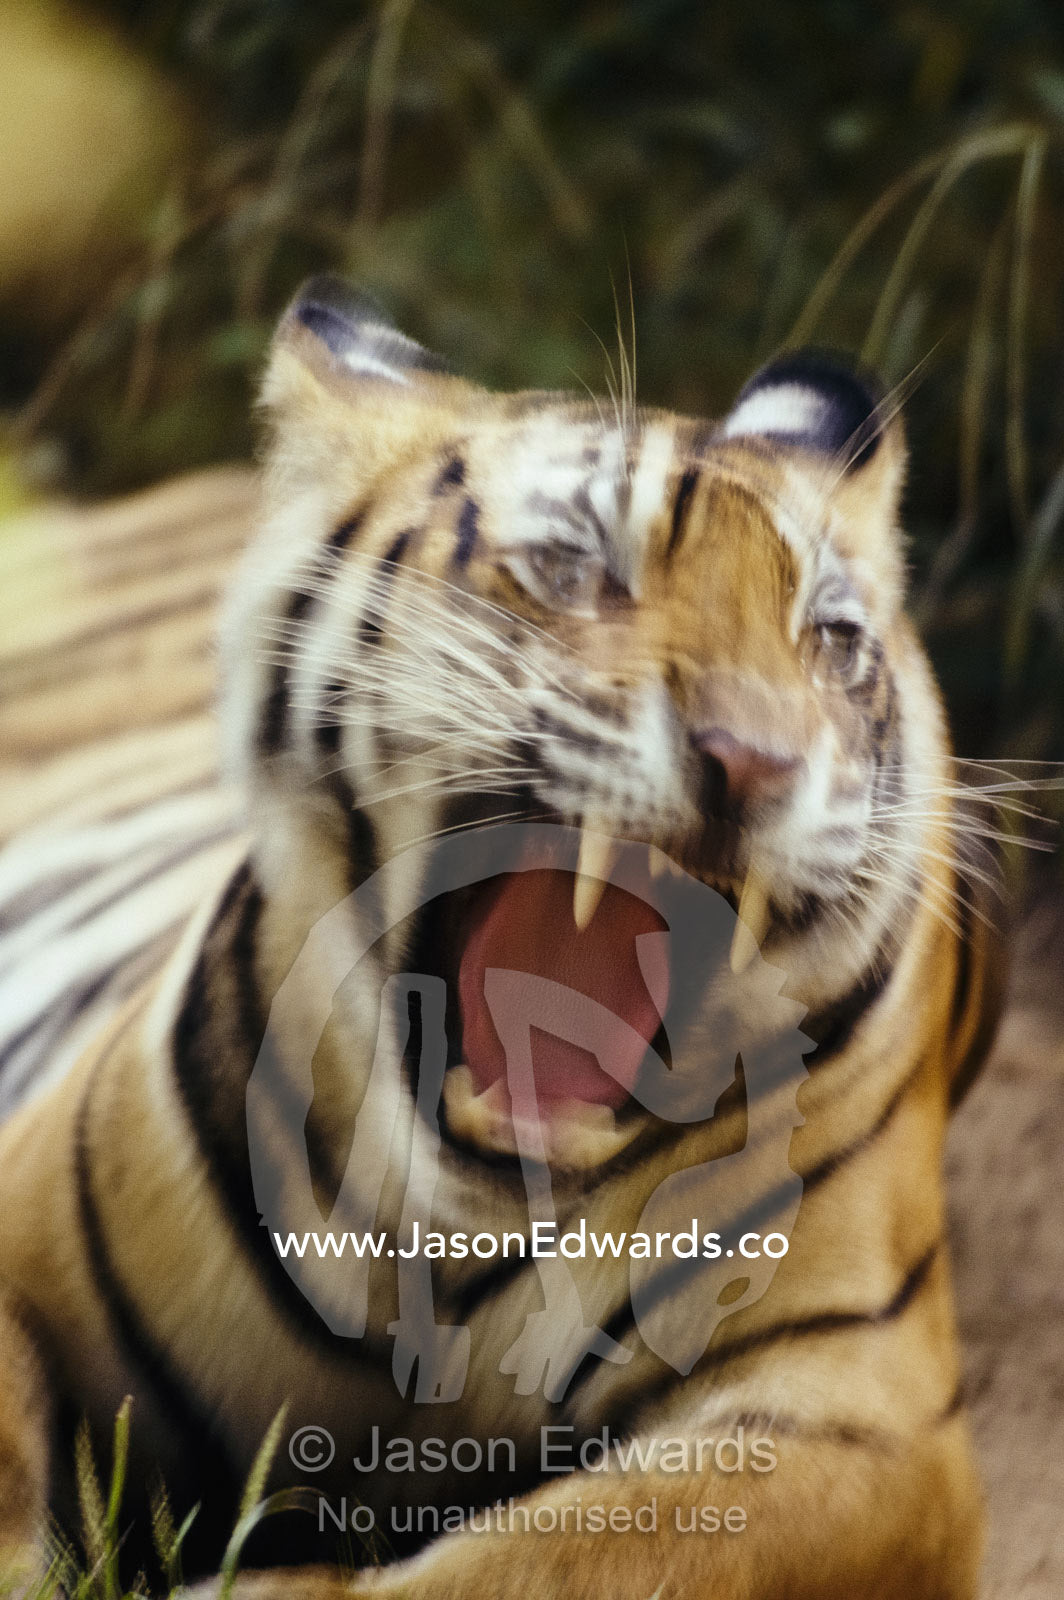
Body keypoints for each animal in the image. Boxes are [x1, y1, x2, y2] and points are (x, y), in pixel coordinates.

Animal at [0, 274, 1006, 1600]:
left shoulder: (860, 1415)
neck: (458, 1236)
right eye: (574, 565)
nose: (752, 759)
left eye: (830, 641)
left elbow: (569, 1558)